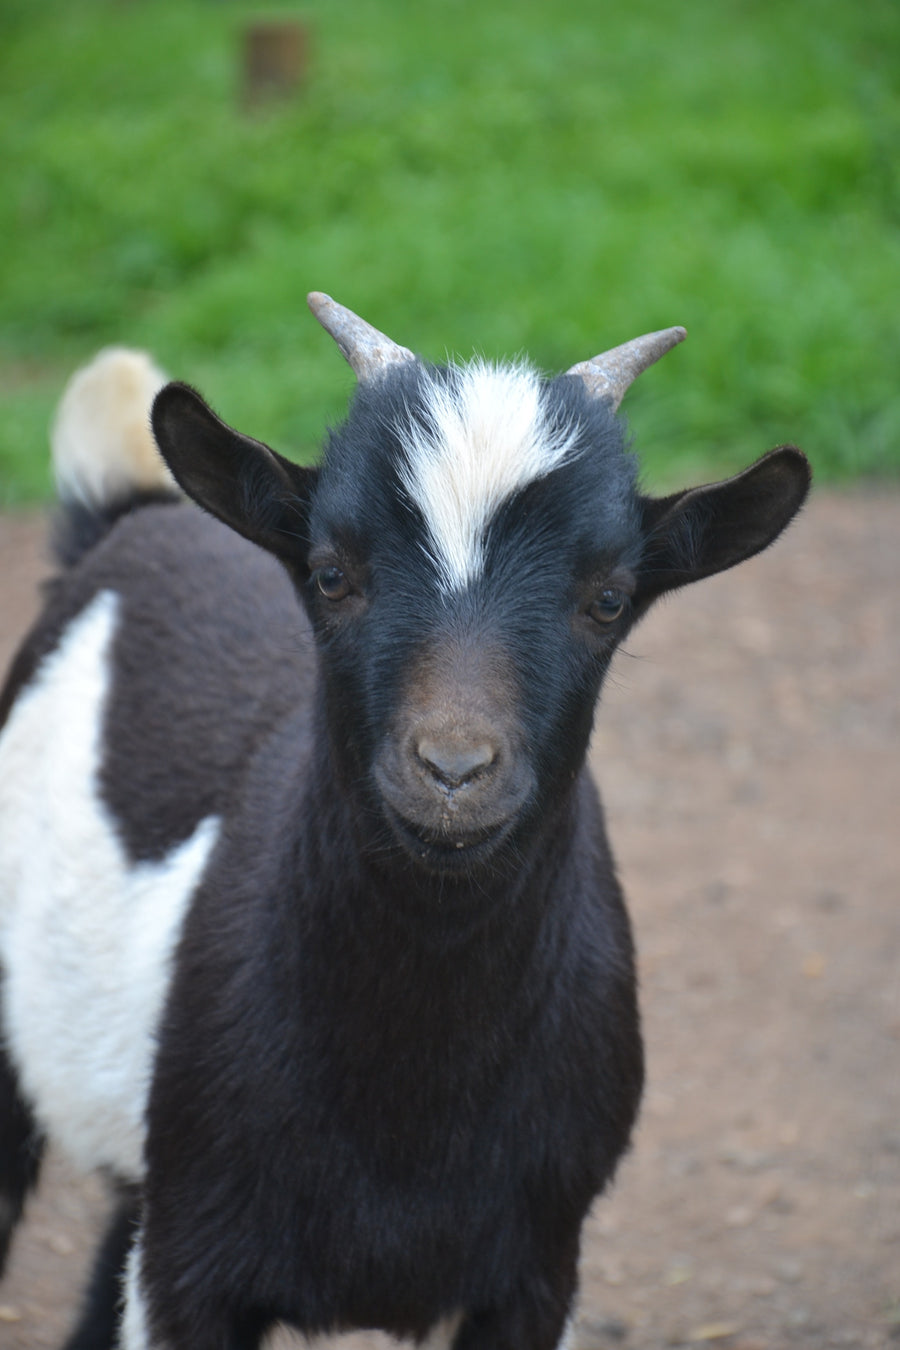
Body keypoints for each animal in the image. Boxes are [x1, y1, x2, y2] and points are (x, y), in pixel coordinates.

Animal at [0, 296, 811, 1350]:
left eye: (608, 597)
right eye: (331, 574)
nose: (453, 773)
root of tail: (129, 511)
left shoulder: (539, 1271)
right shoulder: (190, 1269)